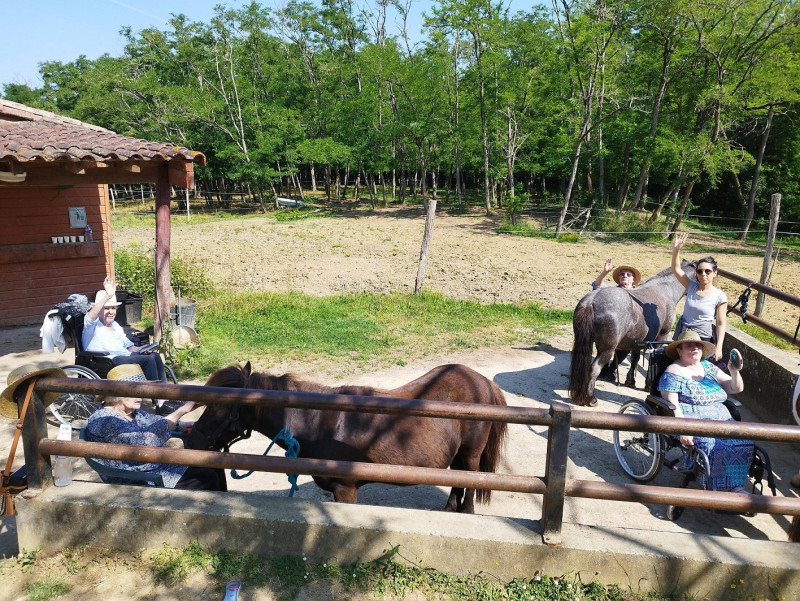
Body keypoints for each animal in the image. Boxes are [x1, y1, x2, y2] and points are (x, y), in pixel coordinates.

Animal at [188, 360, 506, 510]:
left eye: (219, 405)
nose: (194, 439)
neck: (318, 422)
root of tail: (482, 381)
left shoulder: (346, 490)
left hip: (471, 453)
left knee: (470, 482)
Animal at [564, 264, 692, 406]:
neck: (665, 290)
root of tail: (591, 302)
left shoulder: (638, 340)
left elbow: (635, 358)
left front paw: (630, 381)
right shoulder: (660, 338)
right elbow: (651, 360)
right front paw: (648, 385)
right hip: (607, 349)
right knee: (594, 368)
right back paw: (591, 398)